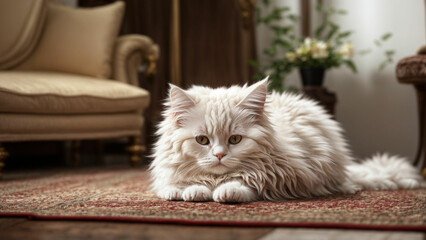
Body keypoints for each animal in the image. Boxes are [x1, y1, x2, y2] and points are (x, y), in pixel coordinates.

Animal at [148, 79, 422, 202]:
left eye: (235, 139)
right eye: (202, 140)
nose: (219, 155)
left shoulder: (286, 174)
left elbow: (245, 180)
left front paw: (225, 190)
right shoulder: (168, 175)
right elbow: (176, 185)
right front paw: (193, 190)